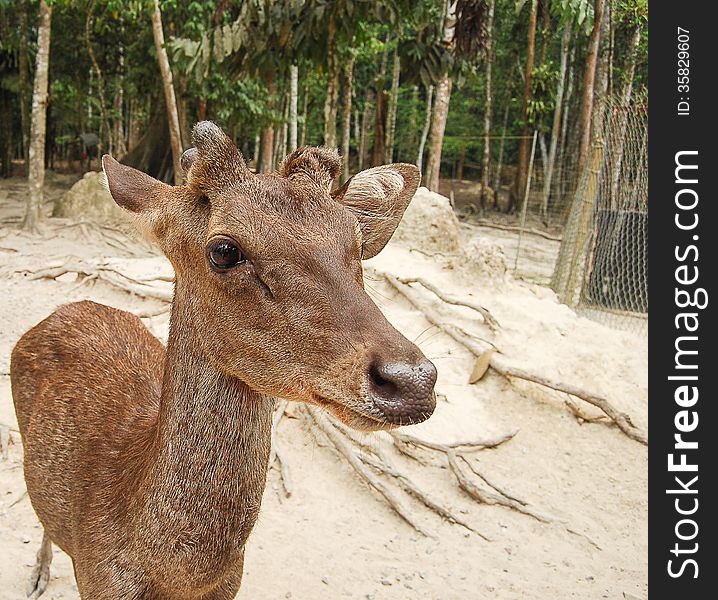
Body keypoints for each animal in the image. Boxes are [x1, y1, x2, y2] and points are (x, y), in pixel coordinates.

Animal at [11, 119, 438, 596]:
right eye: (224, 250)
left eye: (358, 243)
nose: (412, 379)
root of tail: (66, 308)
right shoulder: (94, 578)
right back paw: (39, 574)